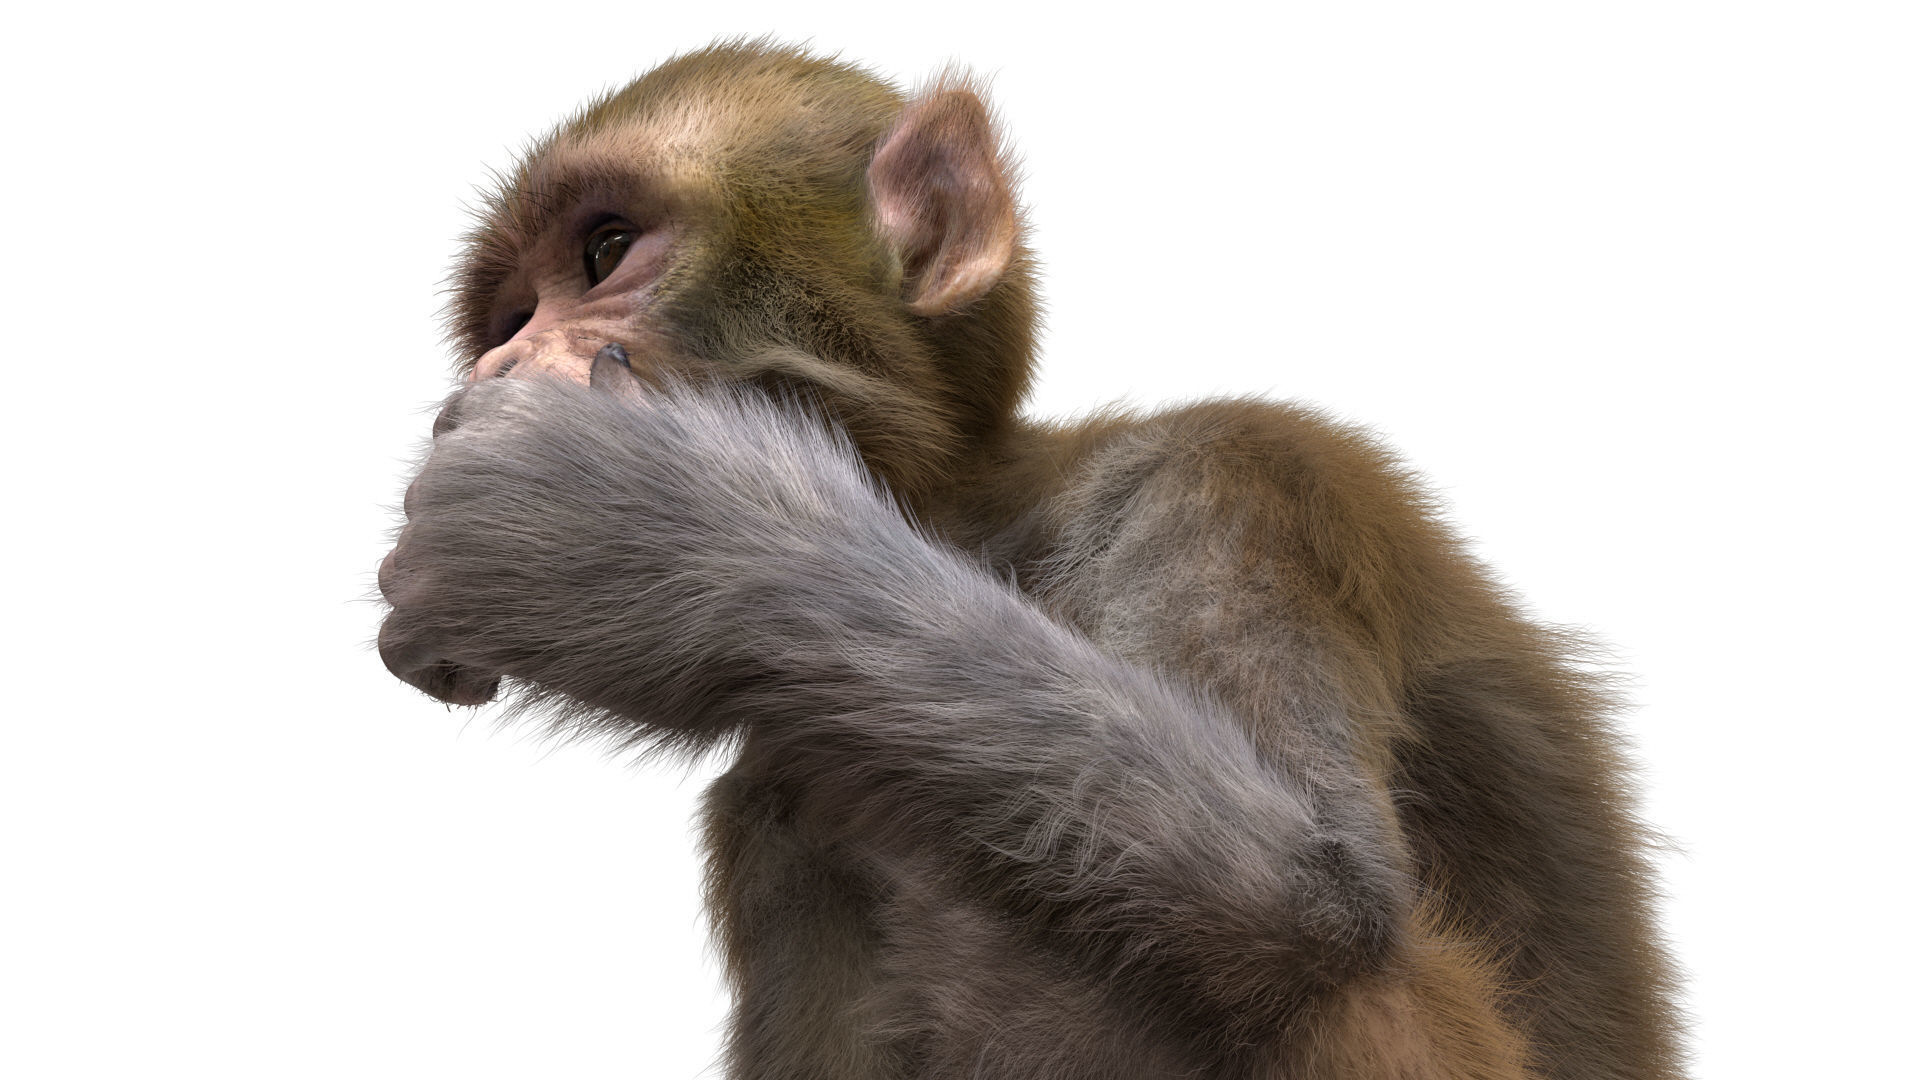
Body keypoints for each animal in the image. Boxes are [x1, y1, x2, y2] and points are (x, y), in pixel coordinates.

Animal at [377, 41, 1682, 1080]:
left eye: (604, 250)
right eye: (506, 321)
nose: (493, 374)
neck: (990, 534)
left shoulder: (1231, 479)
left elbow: (1315, 893)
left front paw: (629, 527)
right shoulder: (775, 807)